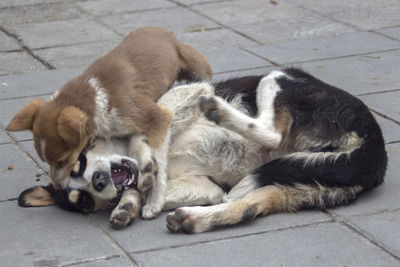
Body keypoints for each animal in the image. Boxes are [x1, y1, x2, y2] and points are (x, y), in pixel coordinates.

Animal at [6, 26, 212, 195]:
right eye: (45, 161)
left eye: (62, 161)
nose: (57, 187)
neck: (94, 100)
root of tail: (163, 31)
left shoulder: (154, 116)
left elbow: (156, 153)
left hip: (195, 63)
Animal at [19, 68, 388, 233]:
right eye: (82, 200)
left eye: (79, 163)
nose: (97, 182)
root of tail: (375, 144)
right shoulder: (206, 186)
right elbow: (148, 184)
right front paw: (129, 204)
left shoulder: (179, 98)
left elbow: (144, 144)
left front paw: (140, 186)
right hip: (296, 184)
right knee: (243, 206)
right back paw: (193, 219)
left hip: (278, 78)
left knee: (270, 134)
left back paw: (219, 111)